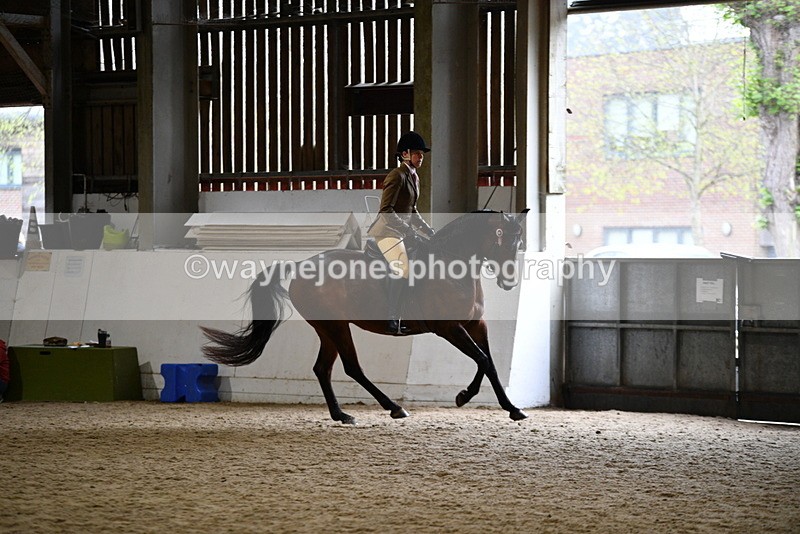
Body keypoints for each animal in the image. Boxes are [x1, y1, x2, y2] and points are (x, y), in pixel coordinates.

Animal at [201, 209, 530, 424]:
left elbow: (488, 362)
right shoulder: (449, 328)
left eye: (520, 243)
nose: (510, 282)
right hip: (335, 326)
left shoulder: (475, 324)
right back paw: (393, 407)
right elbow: (482, 359)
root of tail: (300, 266)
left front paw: (507, 406)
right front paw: (469, 397)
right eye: (501, 240)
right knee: (351, 367)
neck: (453, 267)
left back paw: (341, 414)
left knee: (323, 368)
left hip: (328, 329)